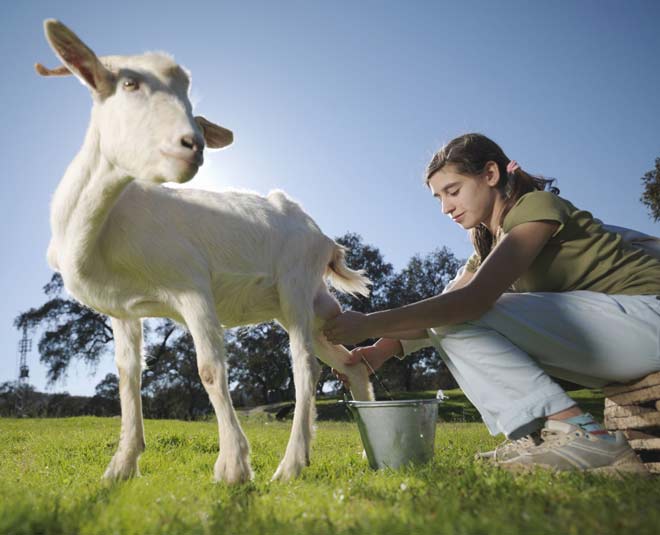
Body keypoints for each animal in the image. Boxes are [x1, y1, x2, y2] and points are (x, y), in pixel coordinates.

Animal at [38, 19, 374, 483]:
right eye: (129, 83)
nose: (191, 144)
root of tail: (323, 237)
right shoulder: (122, 311)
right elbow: (127, 379)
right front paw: (120, 467)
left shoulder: (192, 286)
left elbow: (210, 370)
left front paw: (233, 466)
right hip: (311, 306)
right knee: (350, 361)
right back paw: (369, 452)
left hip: (295, 283)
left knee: (305, 366)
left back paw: (290, 465)